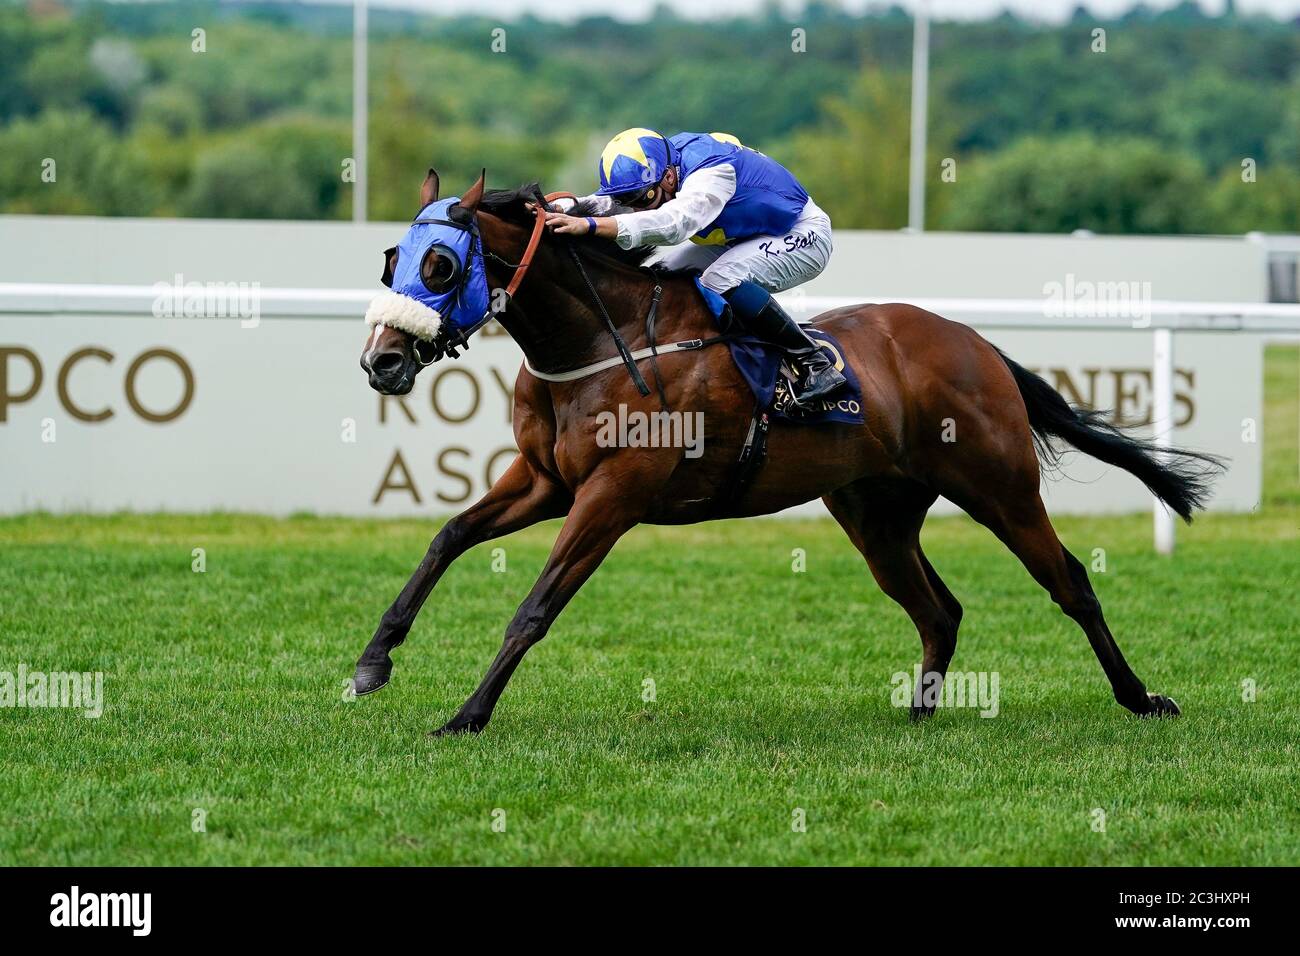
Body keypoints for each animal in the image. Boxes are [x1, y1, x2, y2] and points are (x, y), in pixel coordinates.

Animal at [353, 171, 1216, 738]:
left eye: (441, 264)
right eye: (391, 259)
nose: (381, 362)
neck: (604, 338)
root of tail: (974, 343)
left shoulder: (613, 495)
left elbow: (534, 608)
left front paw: (467, 715)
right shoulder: (544, 481)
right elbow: (448, 538)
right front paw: (373, 662)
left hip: (999, 486)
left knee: (1070, 582)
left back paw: (1142, 699)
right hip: (876, 515)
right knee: (939, 608)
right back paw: (922, 710)